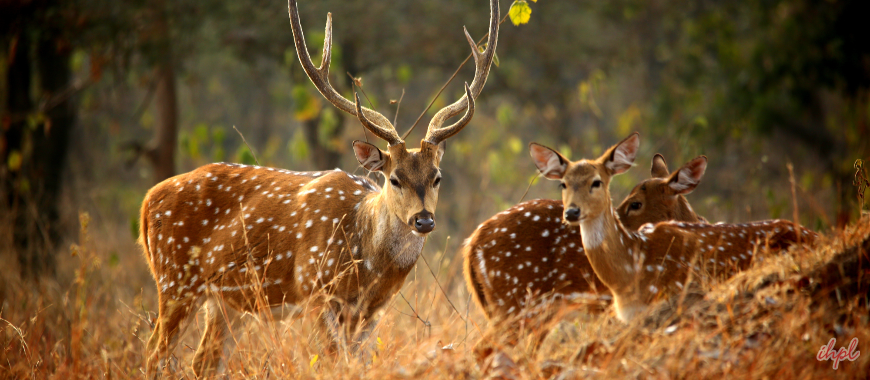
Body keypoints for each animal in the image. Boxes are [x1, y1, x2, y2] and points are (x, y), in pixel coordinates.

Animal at [141, 0, 500, 374]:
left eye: (437, 177)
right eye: (394, 178)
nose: (424, 220)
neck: (368, 268)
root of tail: (148, 201)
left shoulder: (371, 312)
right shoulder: (315, 291)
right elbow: (331, 363)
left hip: (225, 300)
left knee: (202, 362)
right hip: (174, 278)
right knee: (154, 351)